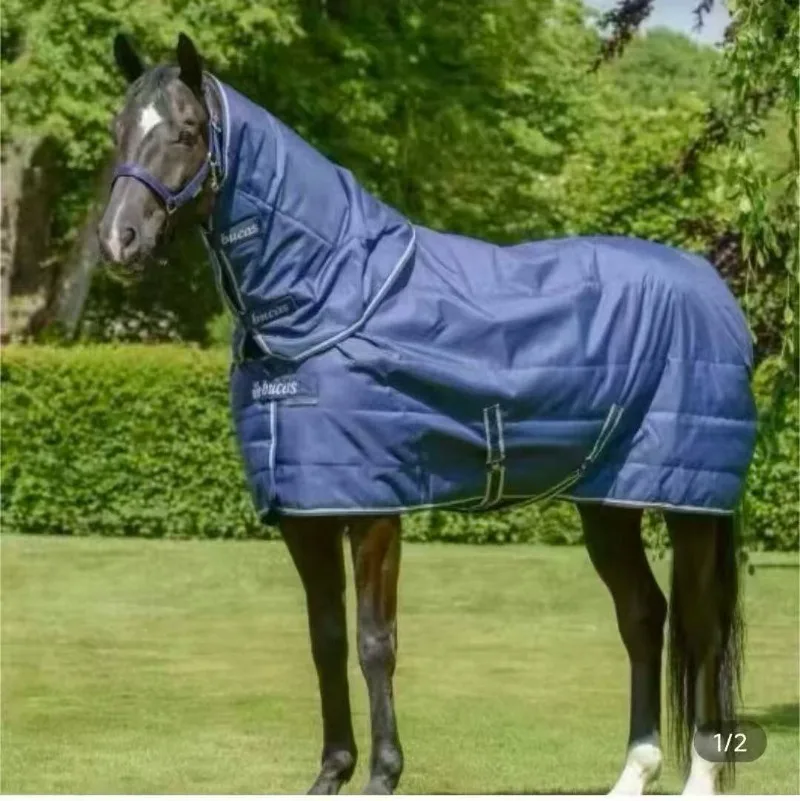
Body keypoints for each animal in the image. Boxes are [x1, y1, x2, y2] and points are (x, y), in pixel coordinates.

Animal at [97, 33, 756, 796]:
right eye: (119, 130)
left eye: (186, 131)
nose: (119, 241)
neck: (333, 298)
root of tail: (711, 288)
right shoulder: (305, 512)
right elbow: (325, 638)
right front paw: (332, 772)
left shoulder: (376, 511)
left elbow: (374, 642)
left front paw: (384, 773)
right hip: (607, 502)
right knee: (643, 616)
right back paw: (632, 772)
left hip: (689, 507)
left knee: (701, 628)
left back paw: (700, 777)